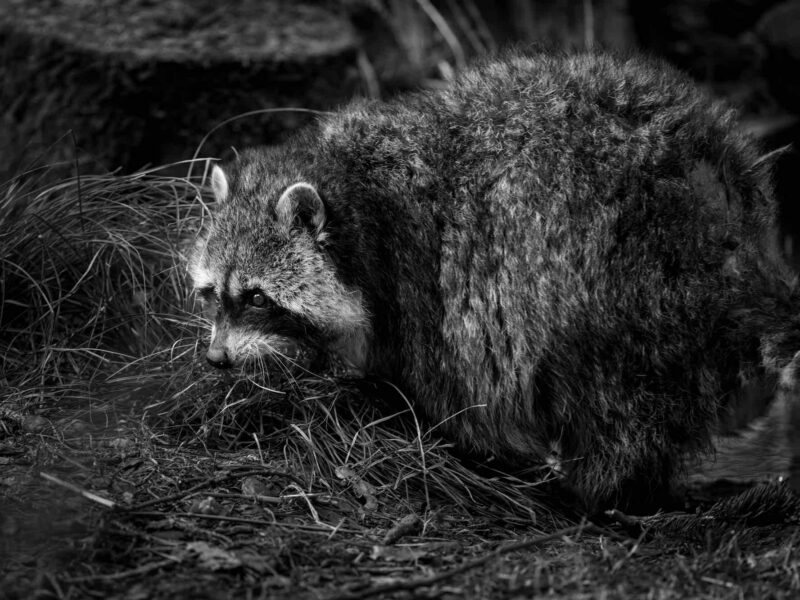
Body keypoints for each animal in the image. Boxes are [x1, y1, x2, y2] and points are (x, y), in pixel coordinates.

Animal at [189, 51, 800, 509]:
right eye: (212, 293)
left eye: (256, 297)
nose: (216, 359)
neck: (357, 196)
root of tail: (721, 203)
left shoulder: (427, 276)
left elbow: (457, 383)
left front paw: (445, 436)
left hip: (616, 277)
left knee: (617, 398)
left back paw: (605, 487)